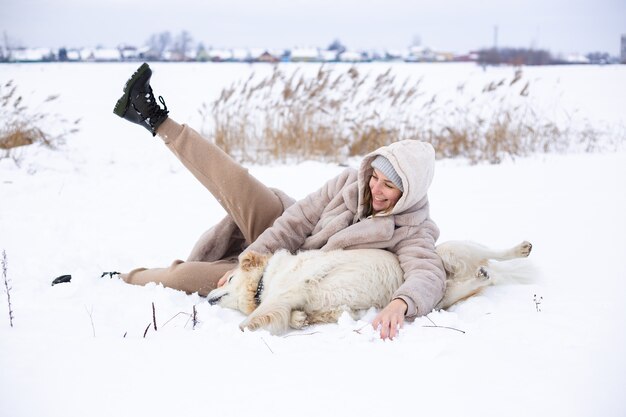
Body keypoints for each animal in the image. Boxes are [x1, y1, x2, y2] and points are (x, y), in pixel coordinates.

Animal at [208, 239, 532, 334]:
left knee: (494, 253)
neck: (264, 281)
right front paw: (299, 319)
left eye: (231, 279)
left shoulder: (289, 290)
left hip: (451, 251)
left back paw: (520, 250)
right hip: (445, 294)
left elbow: (258, 315)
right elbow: (299, 315)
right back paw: (482, 275)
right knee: (480, 278)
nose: (208, 297)